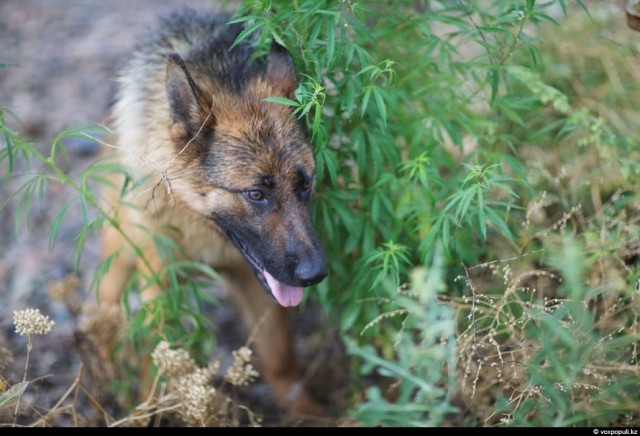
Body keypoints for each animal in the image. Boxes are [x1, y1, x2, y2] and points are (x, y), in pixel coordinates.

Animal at [97, 7, 328, 416]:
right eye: (256, 194)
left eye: (305, 185)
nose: (315, 274)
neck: (198, 224)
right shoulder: (159, 276)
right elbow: (159, 353)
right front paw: (150, 410)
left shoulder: (258, 283)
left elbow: (280, 356)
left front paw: (307, 413)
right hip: (119, 258)